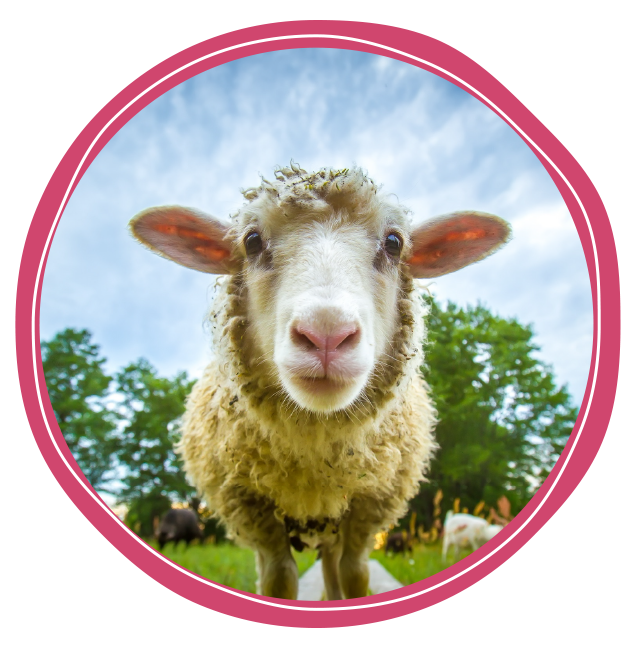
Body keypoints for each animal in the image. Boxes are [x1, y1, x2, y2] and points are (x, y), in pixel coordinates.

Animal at [129, 164, 510, 600]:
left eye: (394, 243)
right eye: (252, 241)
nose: (326, 333)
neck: (315, 455)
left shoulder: (368, 504)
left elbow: (355, 574)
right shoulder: (253, 509)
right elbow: (279, 578)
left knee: (333, 566)